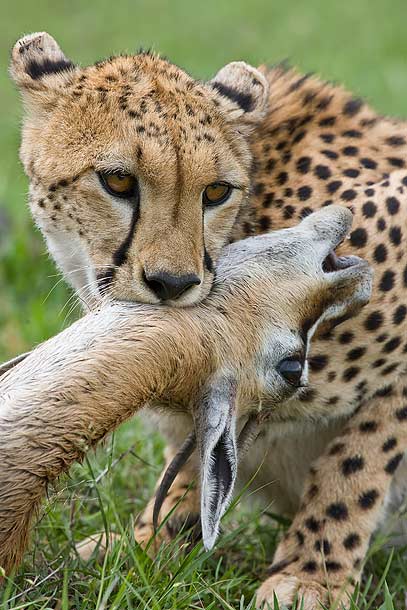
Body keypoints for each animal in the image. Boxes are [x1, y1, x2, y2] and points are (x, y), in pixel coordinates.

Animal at [8, 30, 407, 604]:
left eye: (216, 191)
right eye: (117, 181)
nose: (173, 284)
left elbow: (360, 457)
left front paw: (312, 573)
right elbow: (196, 458)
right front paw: (149, 543)